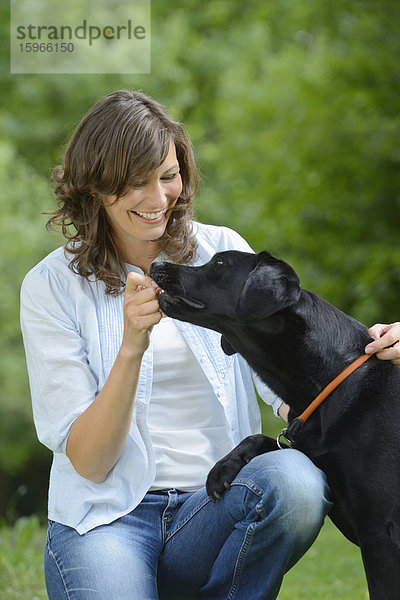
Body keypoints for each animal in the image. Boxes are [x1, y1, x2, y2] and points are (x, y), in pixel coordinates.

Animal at [151, 250, 400, 600]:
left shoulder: (380, 530)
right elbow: (265, 440)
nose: (155, 264)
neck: (331, 381)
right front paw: (223, 469)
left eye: (219, 263)